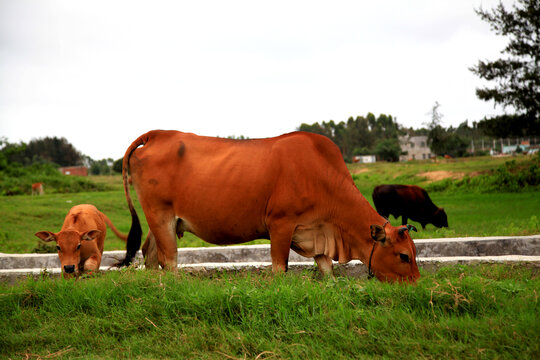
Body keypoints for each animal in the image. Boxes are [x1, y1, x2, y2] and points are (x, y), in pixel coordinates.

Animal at [120, 131, 420, 282]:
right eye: (404, 256)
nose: (416, 285)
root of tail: (157, 135)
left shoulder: (318, 232)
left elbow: (327, 271)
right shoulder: (281, 224)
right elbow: (280, 267)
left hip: (164, 220)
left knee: (149, 254)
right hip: (160, 216)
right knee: (168, 261)